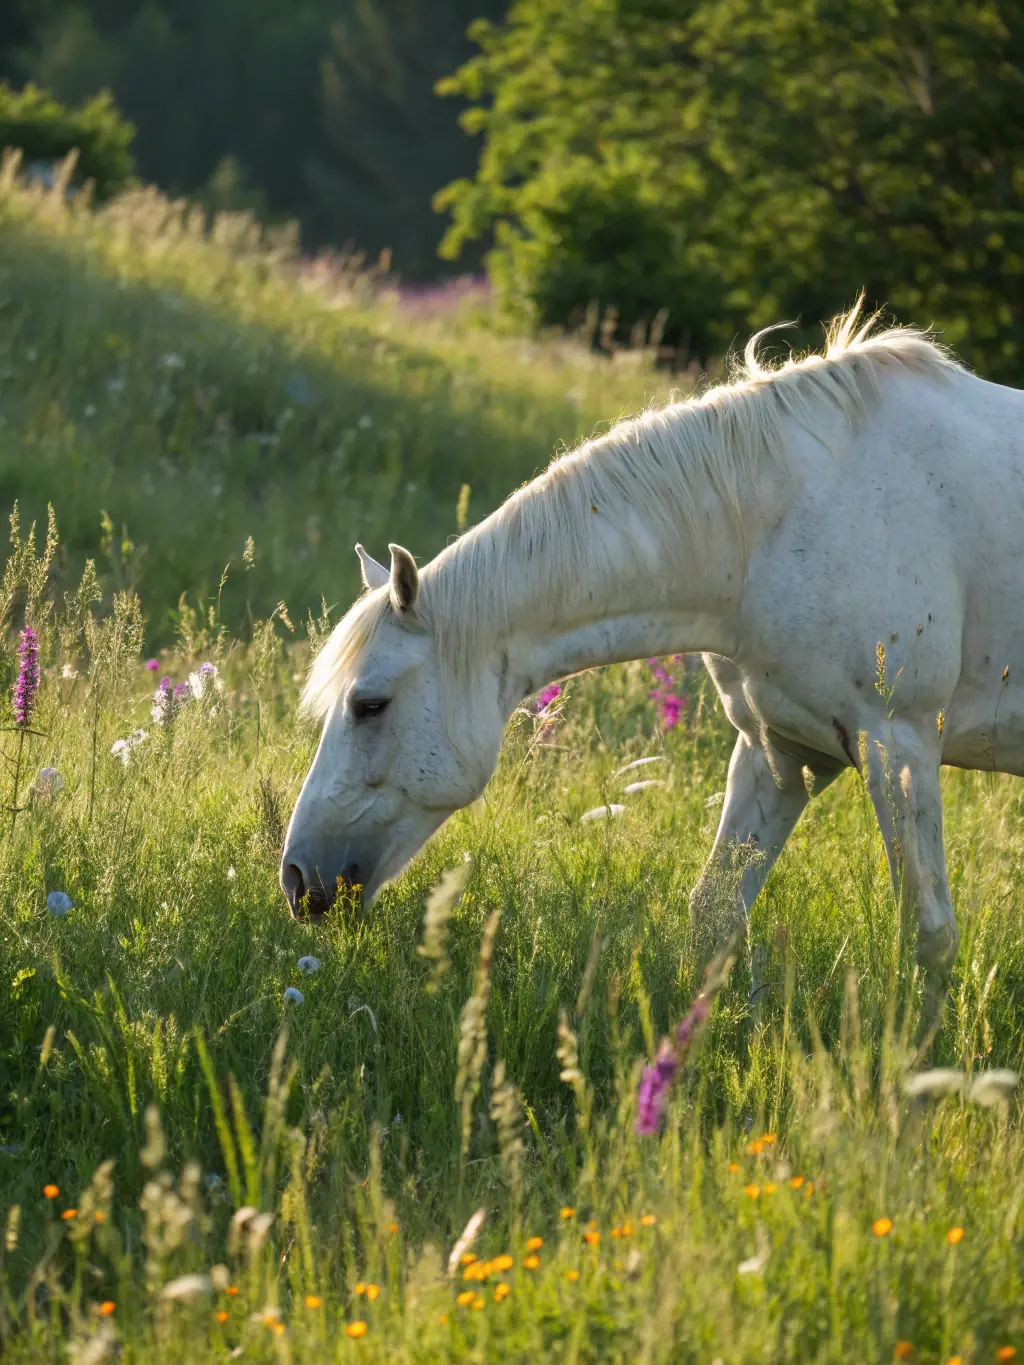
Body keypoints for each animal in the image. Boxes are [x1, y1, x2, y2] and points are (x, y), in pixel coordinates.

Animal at [280, 303, 1024, 988]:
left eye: (370, 705)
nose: (296, 877)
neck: (779, 525)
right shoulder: (779, 751)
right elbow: (715, 911)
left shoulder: (899, 744)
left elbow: (930, 940)